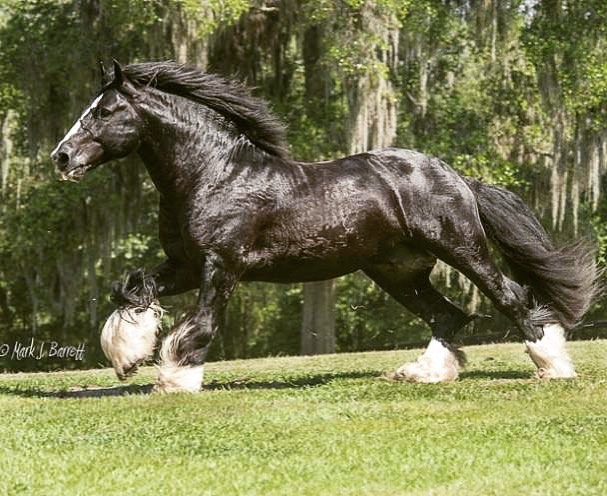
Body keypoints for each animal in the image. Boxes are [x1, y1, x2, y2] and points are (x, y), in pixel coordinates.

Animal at [51, 61, 600, 392]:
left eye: (104, 111)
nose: (62, 157)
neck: (213, 173)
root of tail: (457, 176)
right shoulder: (183, 264)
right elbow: (131, 288)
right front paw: (127, 359)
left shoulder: (221, 265)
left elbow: (202, 322)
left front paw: (177, 379)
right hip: (397, 272)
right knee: (447, 316)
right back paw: (421, 373)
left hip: (461, 249)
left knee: (511, 297)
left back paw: (553, 368)